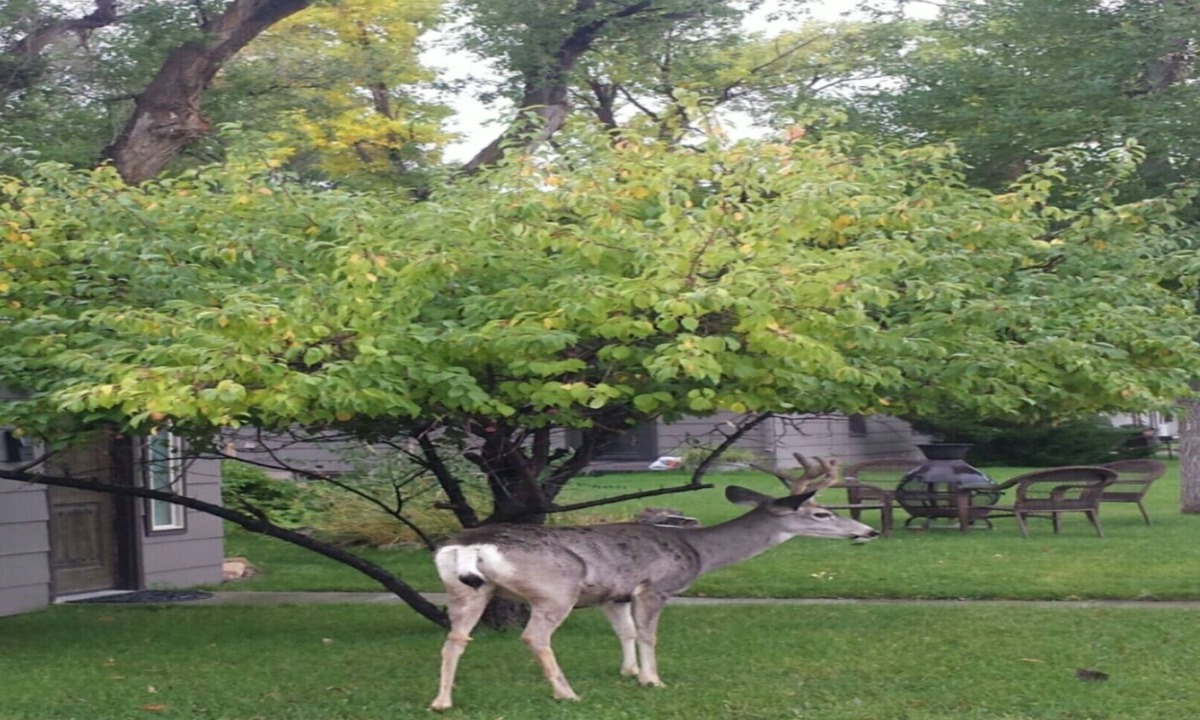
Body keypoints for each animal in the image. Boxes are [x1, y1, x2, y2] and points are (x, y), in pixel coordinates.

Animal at [429, 456, 878, 710]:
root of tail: (467, 544)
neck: (698, 550)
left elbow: (625, 632)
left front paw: (628, 673)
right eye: (821, 514)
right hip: (556, 589)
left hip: (468, 589)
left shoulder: (615, 593)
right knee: (534, 637)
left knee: (454, 639)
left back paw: (442, 702)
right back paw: (566, 694)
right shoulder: (656, 586)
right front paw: (652, 680)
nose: (868, 531)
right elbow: (647, 635)